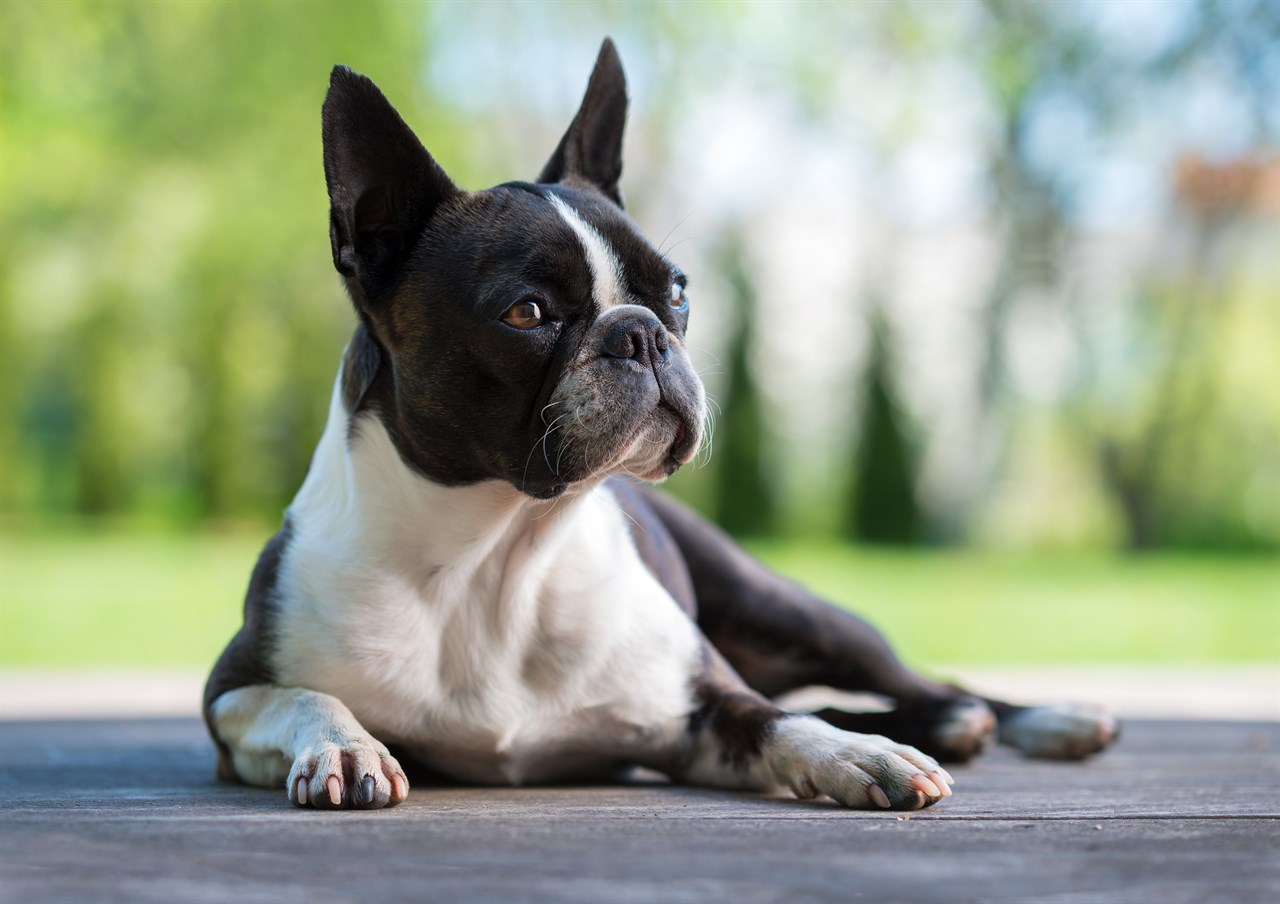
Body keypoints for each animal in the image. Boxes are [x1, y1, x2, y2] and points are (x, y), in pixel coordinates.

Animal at [204, 38, 1116, 809]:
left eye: (675, 289)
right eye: (526, 313)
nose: (641, 332)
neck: (494, 561)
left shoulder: (700, 708)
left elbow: (784, 722)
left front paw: (856, 755)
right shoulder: (229, 693)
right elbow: (301, 696)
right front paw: (345, 742)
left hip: (789, 606)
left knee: (919, 682)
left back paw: (1030, 718)